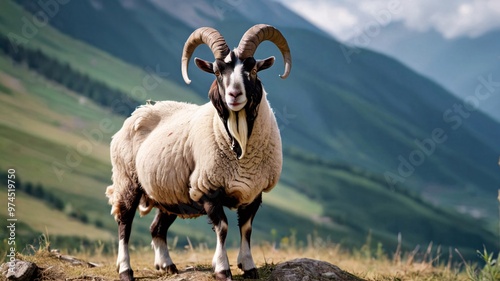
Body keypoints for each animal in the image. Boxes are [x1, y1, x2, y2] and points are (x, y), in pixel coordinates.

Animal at [106, 24, 292, 280]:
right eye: (217, 71)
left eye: (253, 69)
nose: (234, 95)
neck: (239, 146)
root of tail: (140, 111)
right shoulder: (208, 188)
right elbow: (222, 228)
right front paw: (222, 268)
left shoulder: (254, 192)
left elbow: (246, 229)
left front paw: (248, 266)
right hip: (128, 180)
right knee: (124, 222)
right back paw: (125, 270)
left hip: (170, 193)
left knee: (157, 228)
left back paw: (167, 265)